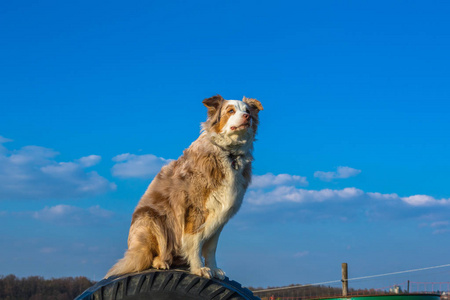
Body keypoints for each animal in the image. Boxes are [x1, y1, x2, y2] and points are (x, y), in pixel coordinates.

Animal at [106, 95, 264, 280]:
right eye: (230, 110)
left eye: (247, 111)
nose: (247, 117)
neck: (229, 153)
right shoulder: (194, 209)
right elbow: (194, 241)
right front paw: (199, 268)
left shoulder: (220, 214)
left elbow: (211, 248)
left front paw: (214, 268)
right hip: (152, 219)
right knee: (150, 255)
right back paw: (161, 262)